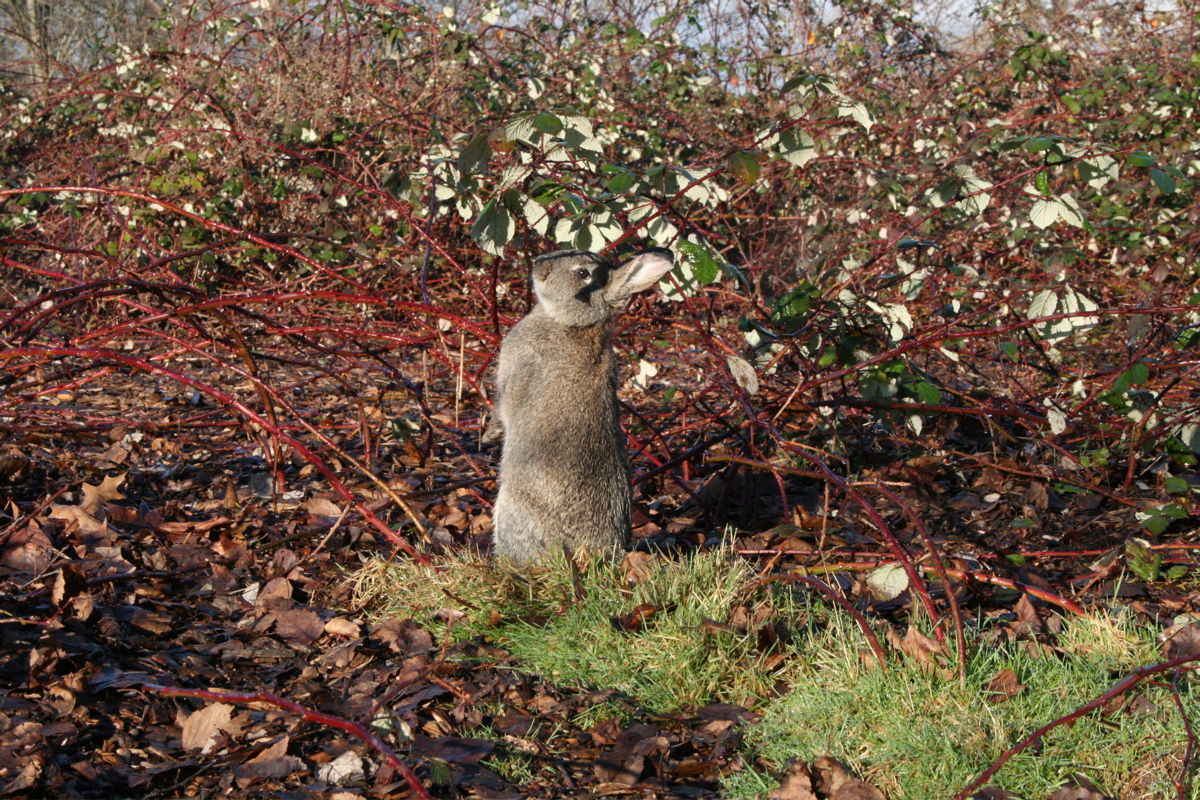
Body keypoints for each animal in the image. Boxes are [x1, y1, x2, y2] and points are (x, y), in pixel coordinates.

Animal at [484, 247, 675, 565]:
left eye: (583, 273)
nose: (539, 265)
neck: (574, 324)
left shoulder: (516, 378)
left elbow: (505, 409)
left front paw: (490, 433)